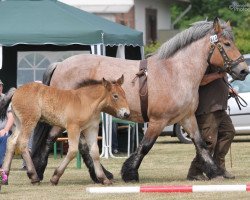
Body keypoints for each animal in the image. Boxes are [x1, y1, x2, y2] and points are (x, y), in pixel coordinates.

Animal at [1, 75, 130, 186]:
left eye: (124, 94)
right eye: (115, 96)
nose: (126, 113)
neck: (85, 101)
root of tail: (16, 90)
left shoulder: (91, 128)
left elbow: (94, 152)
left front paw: (104, 179)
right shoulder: (73, 128)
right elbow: (72, 151)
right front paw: (55, 178)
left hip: (19, 123)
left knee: (11, 141)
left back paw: (5, 177)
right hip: (30, 121)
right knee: (22, 143)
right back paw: (34, 177)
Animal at [30, 17, 247, 183]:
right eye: (227, 44)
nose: (244, 70)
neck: (175, 72)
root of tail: (60, 65)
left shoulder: (187, 118)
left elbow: (201, 144)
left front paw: (215, 172)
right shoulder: (158, 121)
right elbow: (145, 146)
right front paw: (130, 173)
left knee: (83, 146)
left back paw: (100, 175)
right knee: (52, 139)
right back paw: (38, 172)